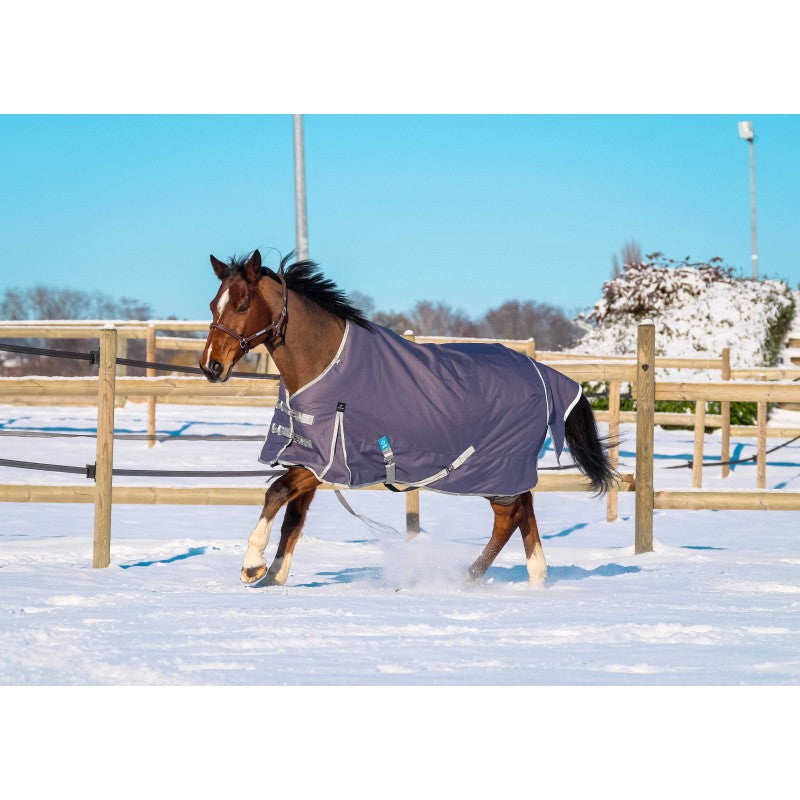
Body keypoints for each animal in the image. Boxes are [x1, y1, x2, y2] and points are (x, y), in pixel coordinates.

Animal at [200, 249, 615, 588]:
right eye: (212, 305)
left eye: (242, 305)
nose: (211, 366)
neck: (326, 365)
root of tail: (543, 372)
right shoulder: (311, 458)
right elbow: (292, 516)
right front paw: (274, 575)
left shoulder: (331, 463)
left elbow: (276, 492)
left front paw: (252, 566)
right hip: (505, 472)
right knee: (523, 509)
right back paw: (534, 577)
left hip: (495, 467)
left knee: (508, 516)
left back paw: (466, 578)